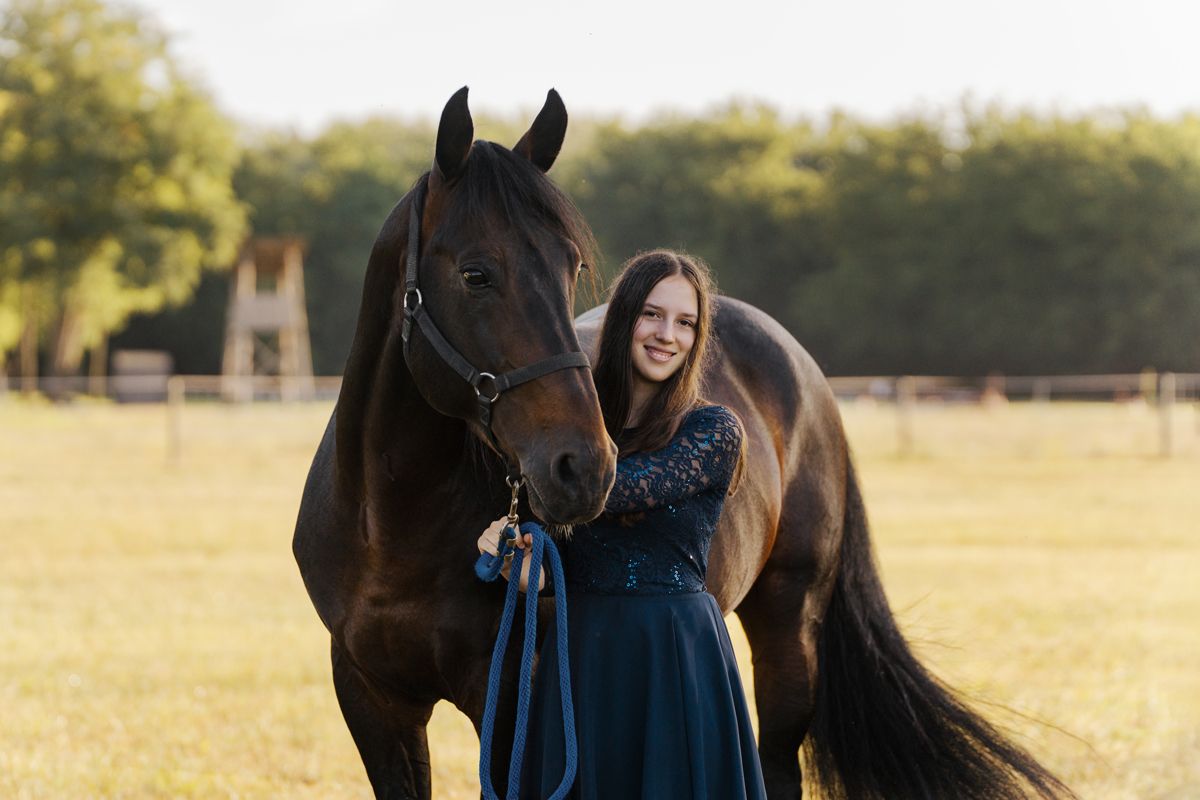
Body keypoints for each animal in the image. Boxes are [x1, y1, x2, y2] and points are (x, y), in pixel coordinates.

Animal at [293, 87, 1072, 799]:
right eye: (476, 273)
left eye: (572, 267)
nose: (584, 469)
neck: (395, 521)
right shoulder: (370, 700)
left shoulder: (511, 701)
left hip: (790, 626)